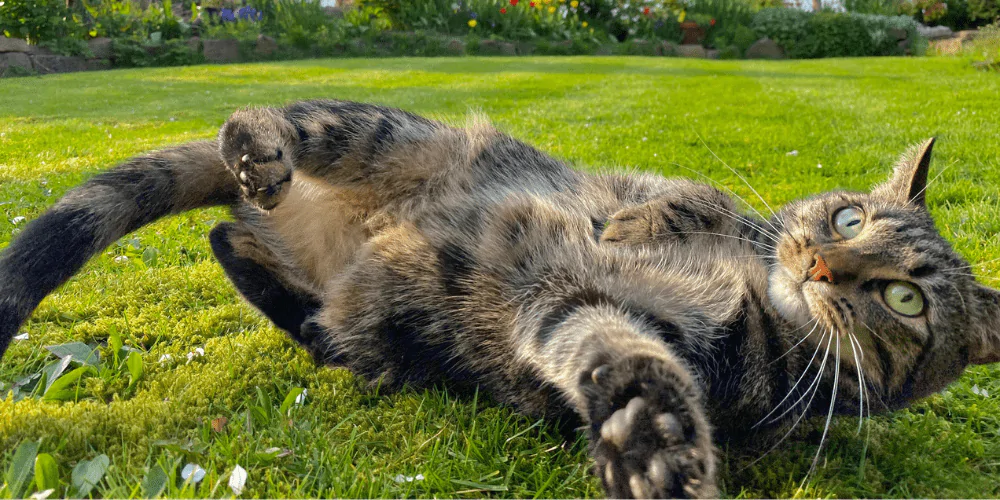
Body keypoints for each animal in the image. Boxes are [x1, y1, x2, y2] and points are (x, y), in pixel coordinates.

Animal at [1, 99, 1000, 498]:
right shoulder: (695, 212)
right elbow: (690, 196)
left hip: (358, 300)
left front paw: (652, 448)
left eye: (904, 301)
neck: (763, 298)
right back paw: (258, 146)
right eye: (847, 216)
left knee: (250, 260)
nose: (823, 268)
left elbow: (621, 365)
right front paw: (636, 222)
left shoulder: (569, 310)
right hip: (378, 133)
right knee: (270, 129)